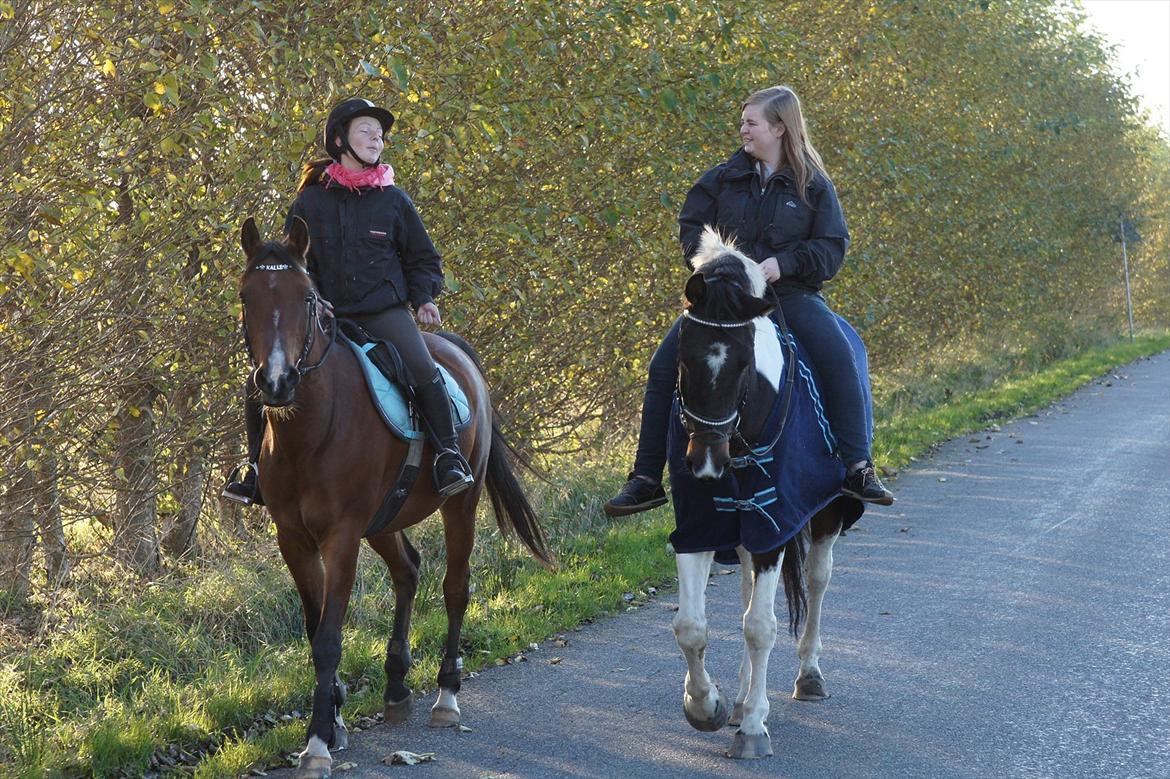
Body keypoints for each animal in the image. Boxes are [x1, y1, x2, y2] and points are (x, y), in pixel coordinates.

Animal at [236, 216, 552, 776]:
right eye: (246, 295)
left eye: (306, 297)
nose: (275, 382)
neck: (311, 428)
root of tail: (448, 346)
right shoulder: (294, 539)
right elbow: (314, 626)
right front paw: (334, 719)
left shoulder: (341, 536)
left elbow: (328, 637)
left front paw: (317, 742)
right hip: (384, 519)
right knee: (408, 570)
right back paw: (397, 684)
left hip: (459, 505)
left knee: (455, 587)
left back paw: (445, 696)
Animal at [669, 224, 851, 757]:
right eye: (682, 358)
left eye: (744, 363)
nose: (706, 463)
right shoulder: (700, 523)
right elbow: (692, 626)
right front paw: (706, 706)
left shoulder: (775, 524)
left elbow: (760, 626)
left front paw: (752, 729)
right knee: (751, 590)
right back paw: (742, 699)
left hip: (826, 515)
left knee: (816, 579)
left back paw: (807, 677)